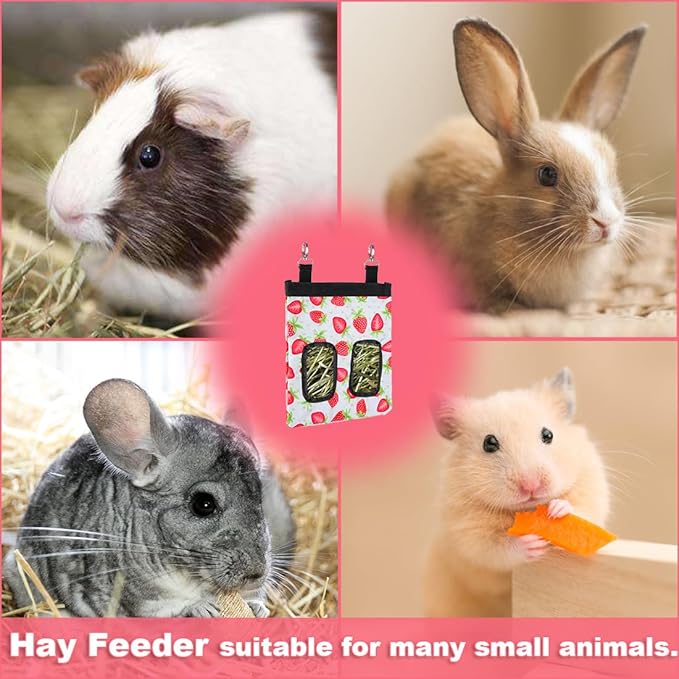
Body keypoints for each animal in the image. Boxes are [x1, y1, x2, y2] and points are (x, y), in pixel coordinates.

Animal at [3, 379, 296, 617]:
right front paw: (201, 607)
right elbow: (171, 608)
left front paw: (258, 608)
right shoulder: (142, 597)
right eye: (203, 504)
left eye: (260, 498)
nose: (257, 575)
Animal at [424, 368, 609, 617]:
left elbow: (585, 510)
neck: (527, 509)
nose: (531, 485)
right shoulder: (467, 530)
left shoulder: (591, 484)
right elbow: (495, 548)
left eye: (548, 434)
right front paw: (532, 544)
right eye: (489, 443)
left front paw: (557, 509)